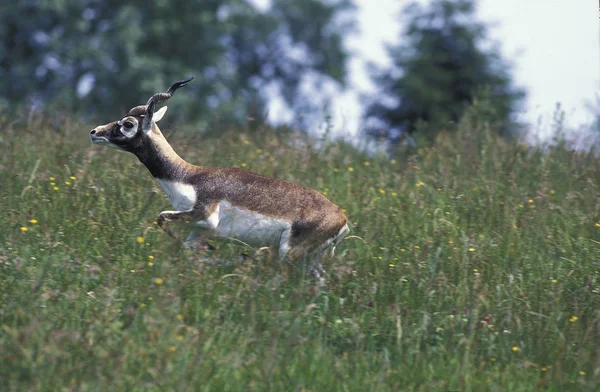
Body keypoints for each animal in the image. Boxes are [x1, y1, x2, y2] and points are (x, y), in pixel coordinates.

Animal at [91, 76, 350, 278]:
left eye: (128, 124)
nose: (95, 132)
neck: (188, 176)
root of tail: (342, 218)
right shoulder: (197, 231)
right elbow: (184, 246)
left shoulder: (204, 217)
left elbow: (161, 217)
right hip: (310, 259)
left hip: (288, 254)